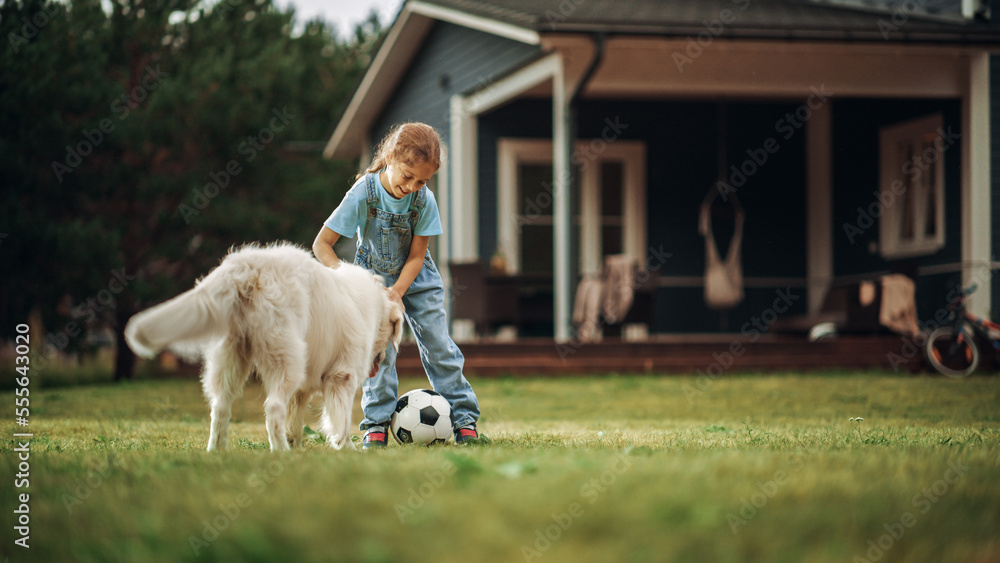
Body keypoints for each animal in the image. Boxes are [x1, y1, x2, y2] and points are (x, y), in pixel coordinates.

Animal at [125, 243, 402, 454]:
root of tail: (249, 267)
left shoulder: (305, 387)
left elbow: (296, 418)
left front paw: (298, 444)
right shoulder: (341, 377)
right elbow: (341, 419)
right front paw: (346, 448)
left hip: (231, 361)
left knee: (220, 407)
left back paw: (218, 451)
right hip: (287, 360)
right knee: (273, 407)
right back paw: (281, 452)